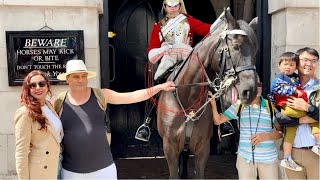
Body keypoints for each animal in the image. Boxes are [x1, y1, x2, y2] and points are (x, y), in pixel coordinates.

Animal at [156, 9, 258, 178]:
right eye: (236, 46)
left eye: (255, 50)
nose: (250, 91)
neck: (189, 98)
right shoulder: (170, 148)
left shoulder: (202, 149)